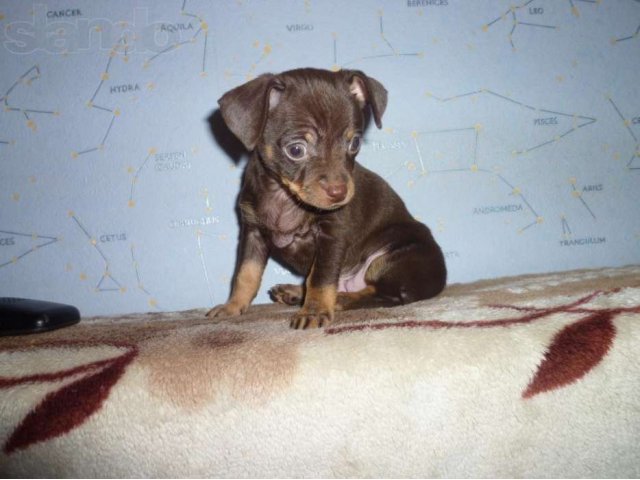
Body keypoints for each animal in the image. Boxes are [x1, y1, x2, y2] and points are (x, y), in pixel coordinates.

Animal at [208, 68, 448, 330]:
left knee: (389, 294)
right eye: (296, 150)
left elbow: (320, 278)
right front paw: (232, 307)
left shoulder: (332, 233)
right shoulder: (253, 232)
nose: (340, 193)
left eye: (354, 143)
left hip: (393, 259)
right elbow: (245, 275)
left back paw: (339, 299)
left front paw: (314, 311)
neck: (284, 195)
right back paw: (295, 292)